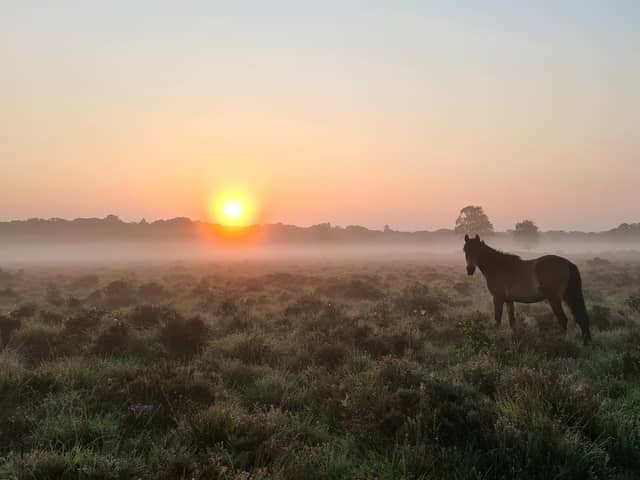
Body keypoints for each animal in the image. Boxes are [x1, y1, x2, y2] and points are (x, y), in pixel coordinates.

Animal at [462, 233, 592, 344]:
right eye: (465, 250)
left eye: (477, 250)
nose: (470, 269)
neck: (499, 267)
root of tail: (567, 263)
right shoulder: (509, 300)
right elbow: (512, 321)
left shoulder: (498, 298)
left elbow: (497, 320)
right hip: (567, 297)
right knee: (580, 318)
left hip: (554, 299)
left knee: (563, 320)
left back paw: (561, 342)